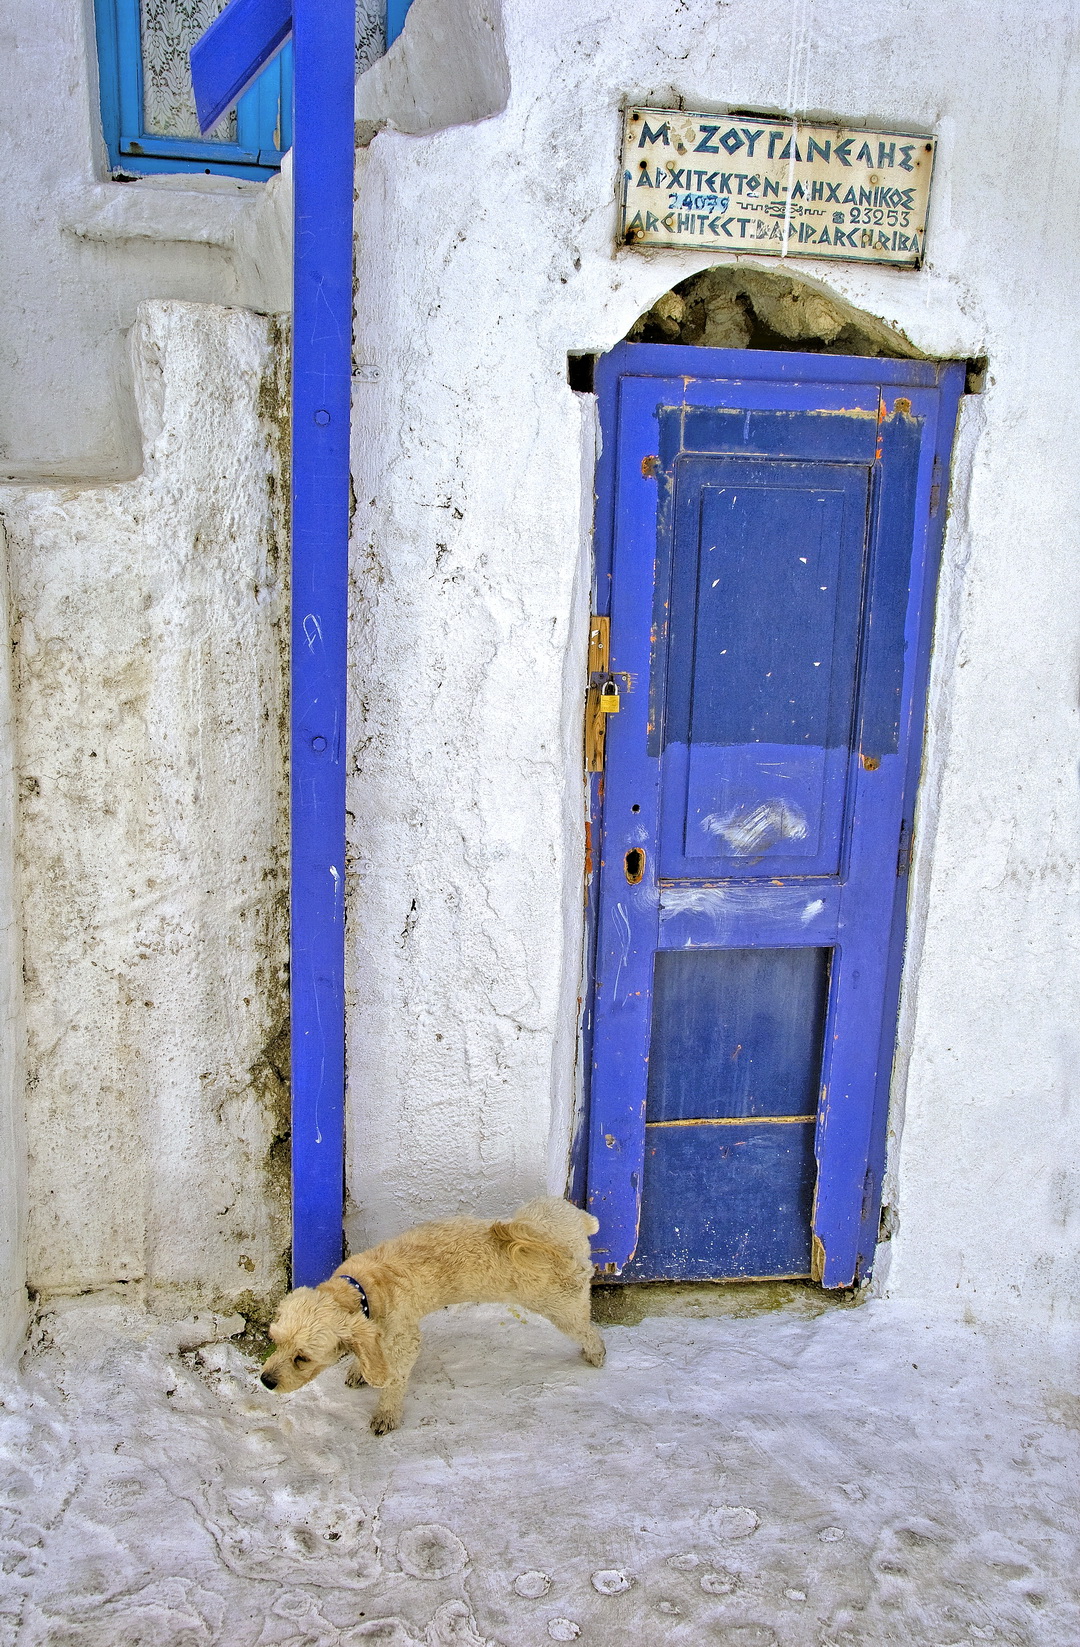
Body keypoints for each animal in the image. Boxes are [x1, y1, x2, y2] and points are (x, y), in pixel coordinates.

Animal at [256, 1199, 602, 1429]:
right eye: (275, 1341)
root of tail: (576, 1228)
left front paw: (386, 1413)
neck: (360, 1288)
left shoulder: (403, 1340)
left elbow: (394, 1379)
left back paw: (596, 1352)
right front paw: (359, 1369)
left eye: (302, 1358)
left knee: (588, 1329)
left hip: (561, 1304)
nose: (265, 1381)